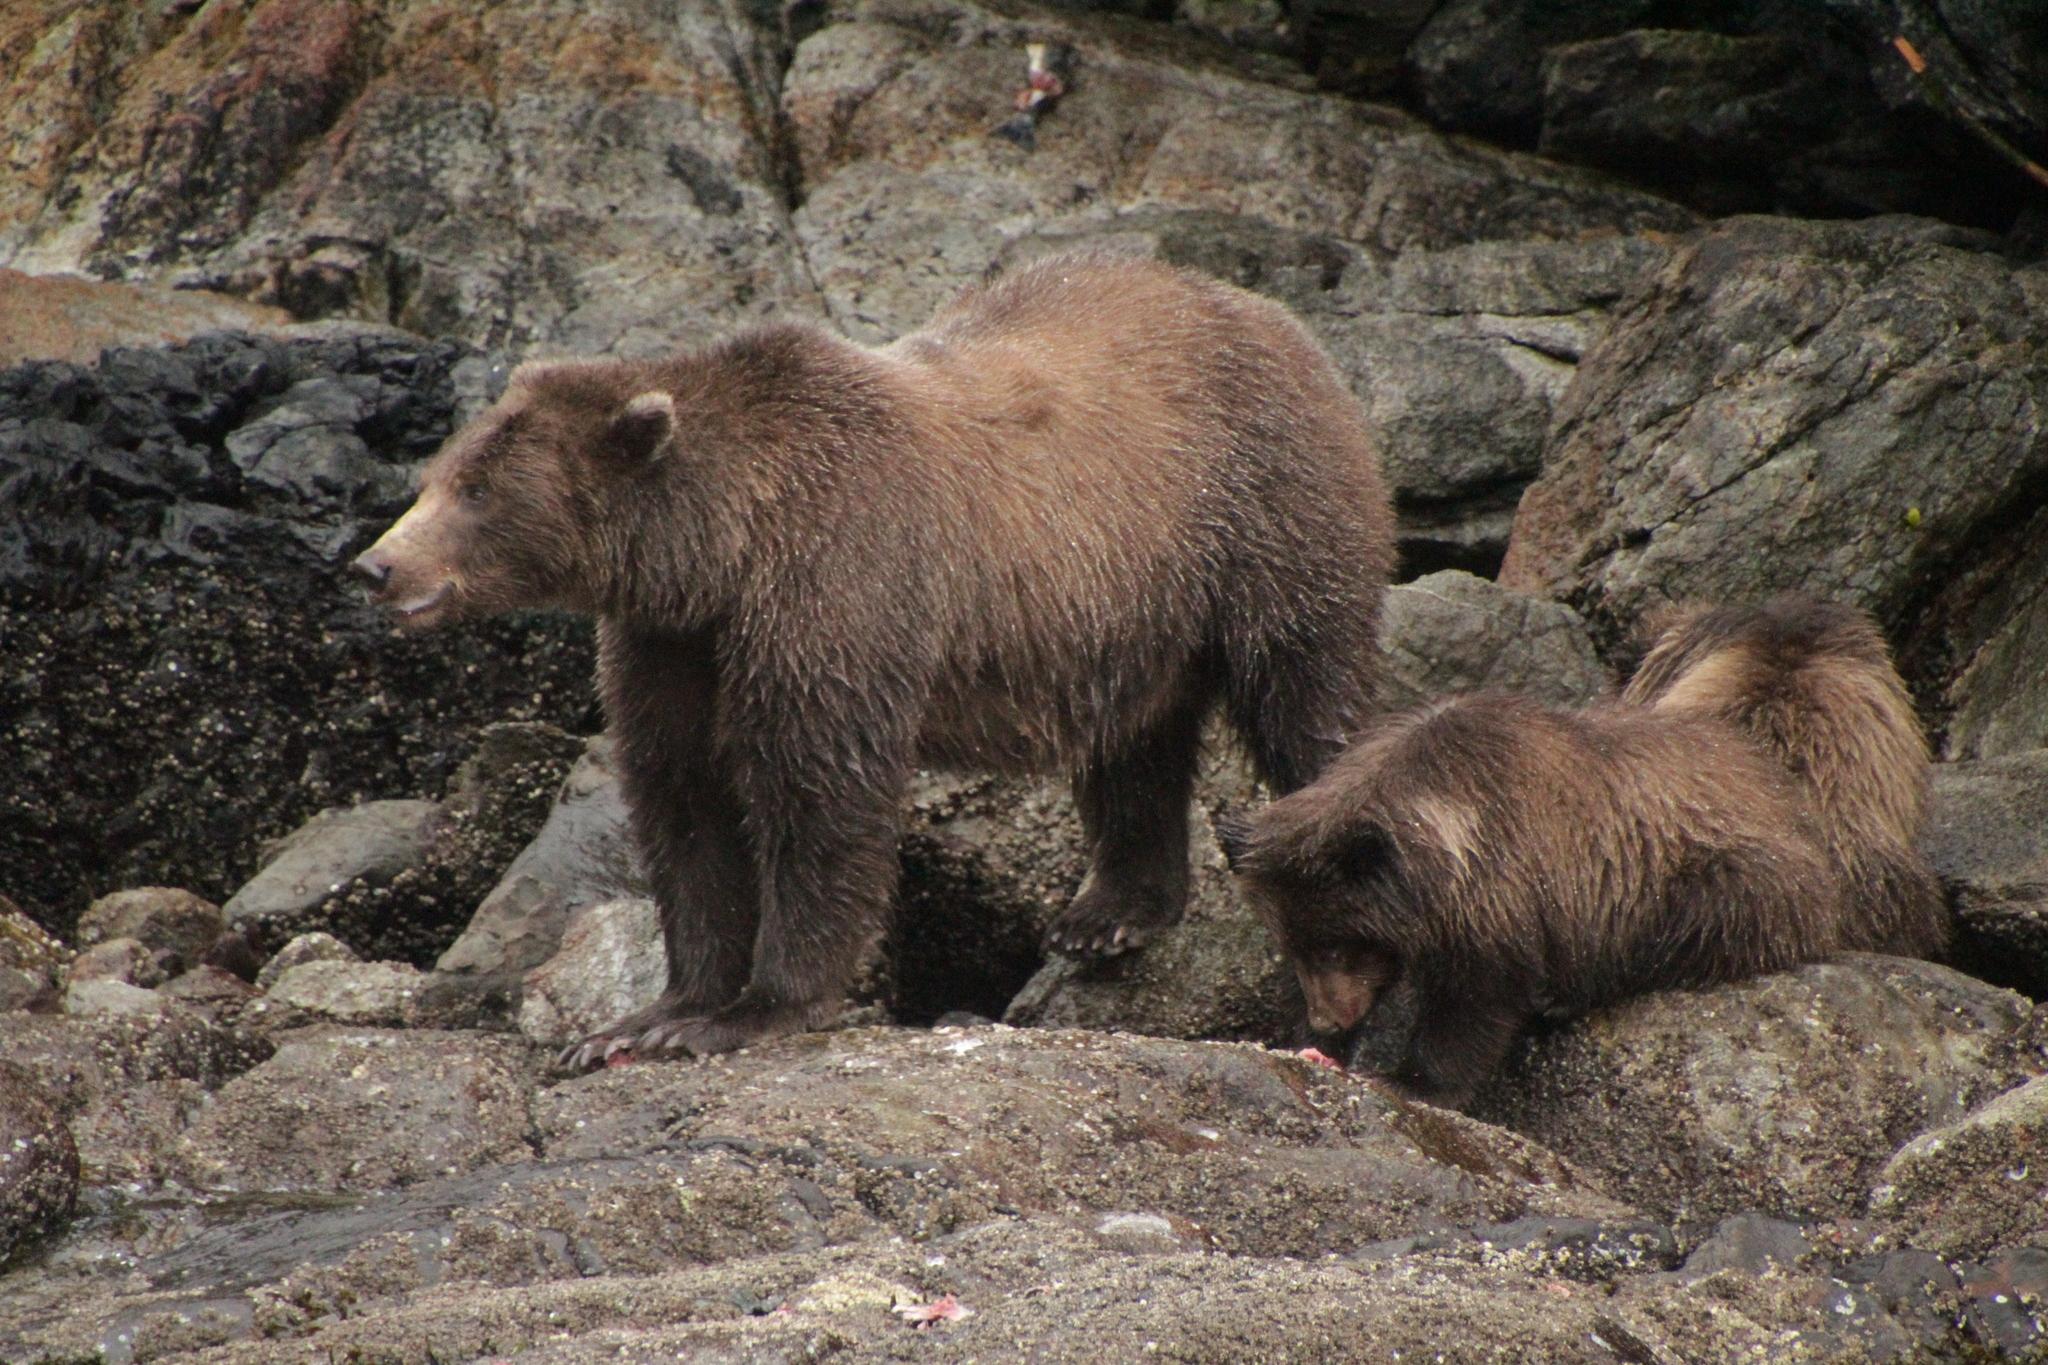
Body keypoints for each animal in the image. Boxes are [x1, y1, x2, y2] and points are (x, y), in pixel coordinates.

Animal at [352, 251, 1395, 1066]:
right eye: (436, 473)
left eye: (477, 491)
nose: (376, 565)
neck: (721, 552)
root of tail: (1275, 316)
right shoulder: (674, 645)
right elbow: (684, 804)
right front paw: (643, 1017)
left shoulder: (838, 586)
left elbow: (819, 795)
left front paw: (753, 1008)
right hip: (1131, 607)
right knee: (1134, 746)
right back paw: (1106, 913)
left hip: (1261, 513)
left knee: (1308, 693)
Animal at [1216, 690, 1842, 1108]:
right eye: (1294, 944)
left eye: (1338, 946)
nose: (1327, 1021)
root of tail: (1783, 789)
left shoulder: (1502, 891)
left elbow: (1478, 999)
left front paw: (1412, 1077)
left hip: (1718, 867)